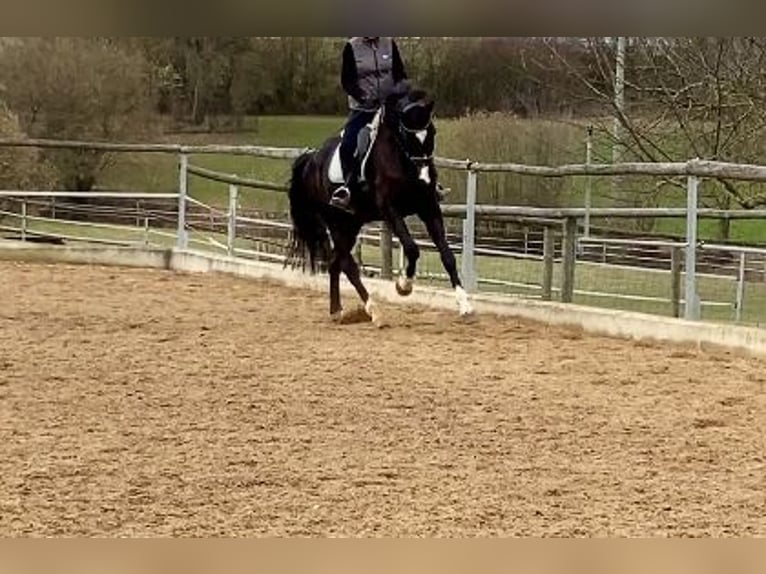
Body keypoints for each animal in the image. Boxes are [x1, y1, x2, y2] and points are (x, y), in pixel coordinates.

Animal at [288, 87, 474, 326]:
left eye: (432, 132)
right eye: (406, 135)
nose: (424, 177)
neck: (401, 157)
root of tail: (312, 158)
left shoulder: (429, 207)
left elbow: (448, 256)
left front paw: (465, 305)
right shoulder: (390, 209)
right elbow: (412, 249)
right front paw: (404, 285)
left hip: (351, 223)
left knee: (335, 263)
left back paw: (337, 311)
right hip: (336, 221)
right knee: (348, 265)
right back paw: (374, 310)